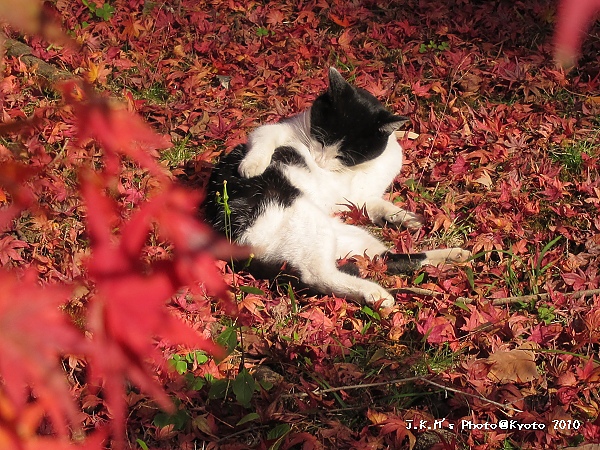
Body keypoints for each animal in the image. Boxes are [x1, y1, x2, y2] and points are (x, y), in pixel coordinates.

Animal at [204, 68, 472, 308]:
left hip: (345, 233)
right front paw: (252, 166)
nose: (319, 161)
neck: (356, 170)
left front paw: (406, 218)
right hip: (305, 220)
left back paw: (454, 256)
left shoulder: (359, 200)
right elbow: (264, 137)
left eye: (345, 154)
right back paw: (376, 294)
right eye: (321, 139)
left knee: (385, 259)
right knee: (317, 276)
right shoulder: (276, 130)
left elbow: (379, 207)